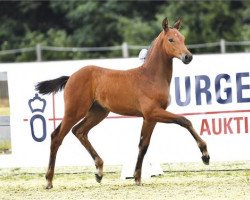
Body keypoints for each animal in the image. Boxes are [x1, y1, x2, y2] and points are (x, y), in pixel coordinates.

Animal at [36, 17, 210, 189]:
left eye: (183, 39)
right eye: (171, 39)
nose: (188, 57)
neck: (151, 77)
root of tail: (71, 77)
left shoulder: (150, 118)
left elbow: (143, 145)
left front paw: (137, 177)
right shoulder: (152, 112)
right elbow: (184, 120)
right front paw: (205, 155)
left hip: (98, 112)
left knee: (79, 131)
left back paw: (99, 171)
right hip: (75, 111)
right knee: (57, 137)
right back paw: (49, 180)